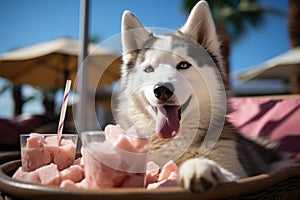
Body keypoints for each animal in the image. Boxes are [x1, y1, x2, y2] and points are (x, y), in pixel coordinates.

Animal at [115, 0, 284, 193]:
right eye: (149, 69)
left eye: (183, 65)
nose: (162, 90)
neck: (173, 141)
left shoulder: (237, 171)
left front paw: (198, 167)